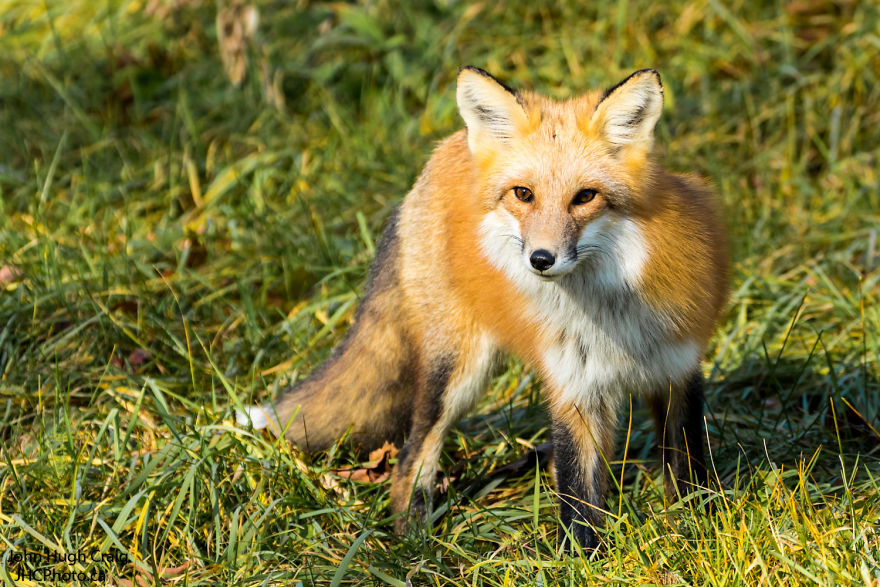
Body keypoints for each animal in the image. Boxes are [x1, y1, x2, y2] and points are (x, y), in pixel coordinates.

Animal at [238, 67, 728, 551]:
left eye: (585, 197)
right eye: (524, 194)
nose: (541, 259)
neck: (614, 312)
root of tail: (444, 151)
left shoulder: (678, 368)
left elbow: (688, 471)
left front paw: (695, 532)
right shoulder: (573, 388)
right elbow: (578, 500)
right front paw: (583, 559)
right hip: (458, 371)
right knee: (412, 456)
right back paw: (416, 542)